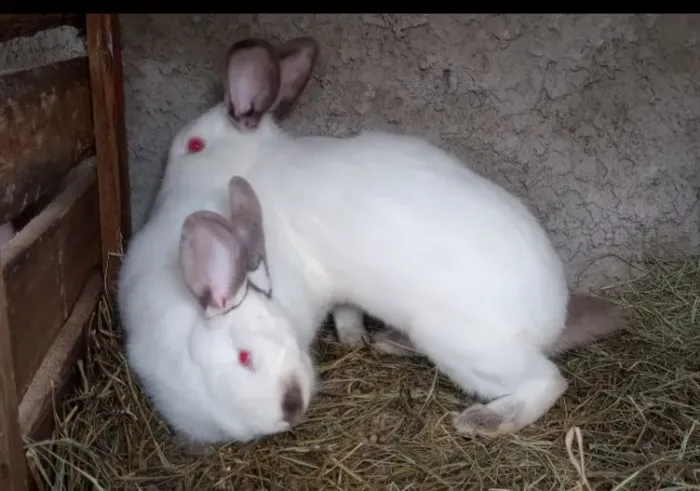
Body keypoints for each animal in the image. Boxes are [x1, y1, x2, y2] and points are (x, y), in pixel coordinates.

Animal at [150, 35, 626, 438]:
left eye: (194, 145)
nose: (163, 184)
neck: (259, 162)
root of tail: (551, 320)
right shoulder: (343, 287)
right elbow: (347, 311)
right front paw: (353, 340)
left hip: (462, 345)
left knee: (547, 381)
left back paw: (484, 421)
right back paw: (388, 343)